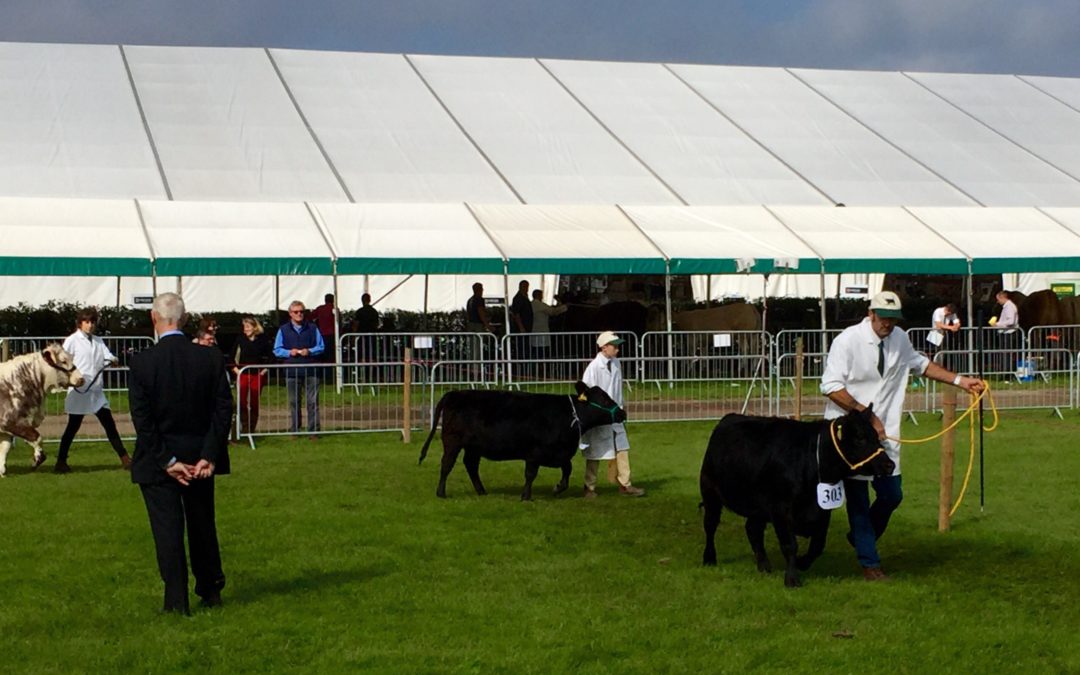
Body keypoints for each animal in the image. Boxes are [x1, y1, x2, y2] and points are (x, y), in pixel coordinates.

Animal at [0, 345, 84, 477]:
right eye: (63, 361)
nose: (81, 379)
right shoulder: (11, 422)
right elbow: (37, 437)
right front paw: (37, 459)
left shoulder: (6, 429)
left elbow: (4, 448)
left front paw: (2, 472)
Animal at [419, 382, 626, 496]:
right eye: (604, 399)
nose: (623, 412)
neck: (566, 415)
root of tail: (455, 393)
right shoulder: (534, 452)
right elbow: (530, 474)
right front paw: (526, 496)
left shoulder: (560, 453)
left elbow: (567, 469)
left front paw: (558, 488)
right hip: (452, 441)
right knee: (447, 464)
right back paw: (441, 493)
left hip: (474, 446)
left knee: (471, 465)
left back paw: (481, 491)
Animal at [699, 406, 894, 583]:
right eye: (860, 438)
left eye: (877, 437)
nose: (889, 465)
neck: (813, 461)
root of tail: (729, 418)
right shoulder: (781, 509)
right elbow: (790, 544)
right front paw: (792, 578)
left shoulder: (823, 510)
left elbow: (818, 545)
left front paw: (801, 563)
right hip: (710, 492)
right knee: (710, 525)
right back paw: (709, 558)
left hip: (758, 506)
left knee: (753, 529)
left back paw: (764, 566)